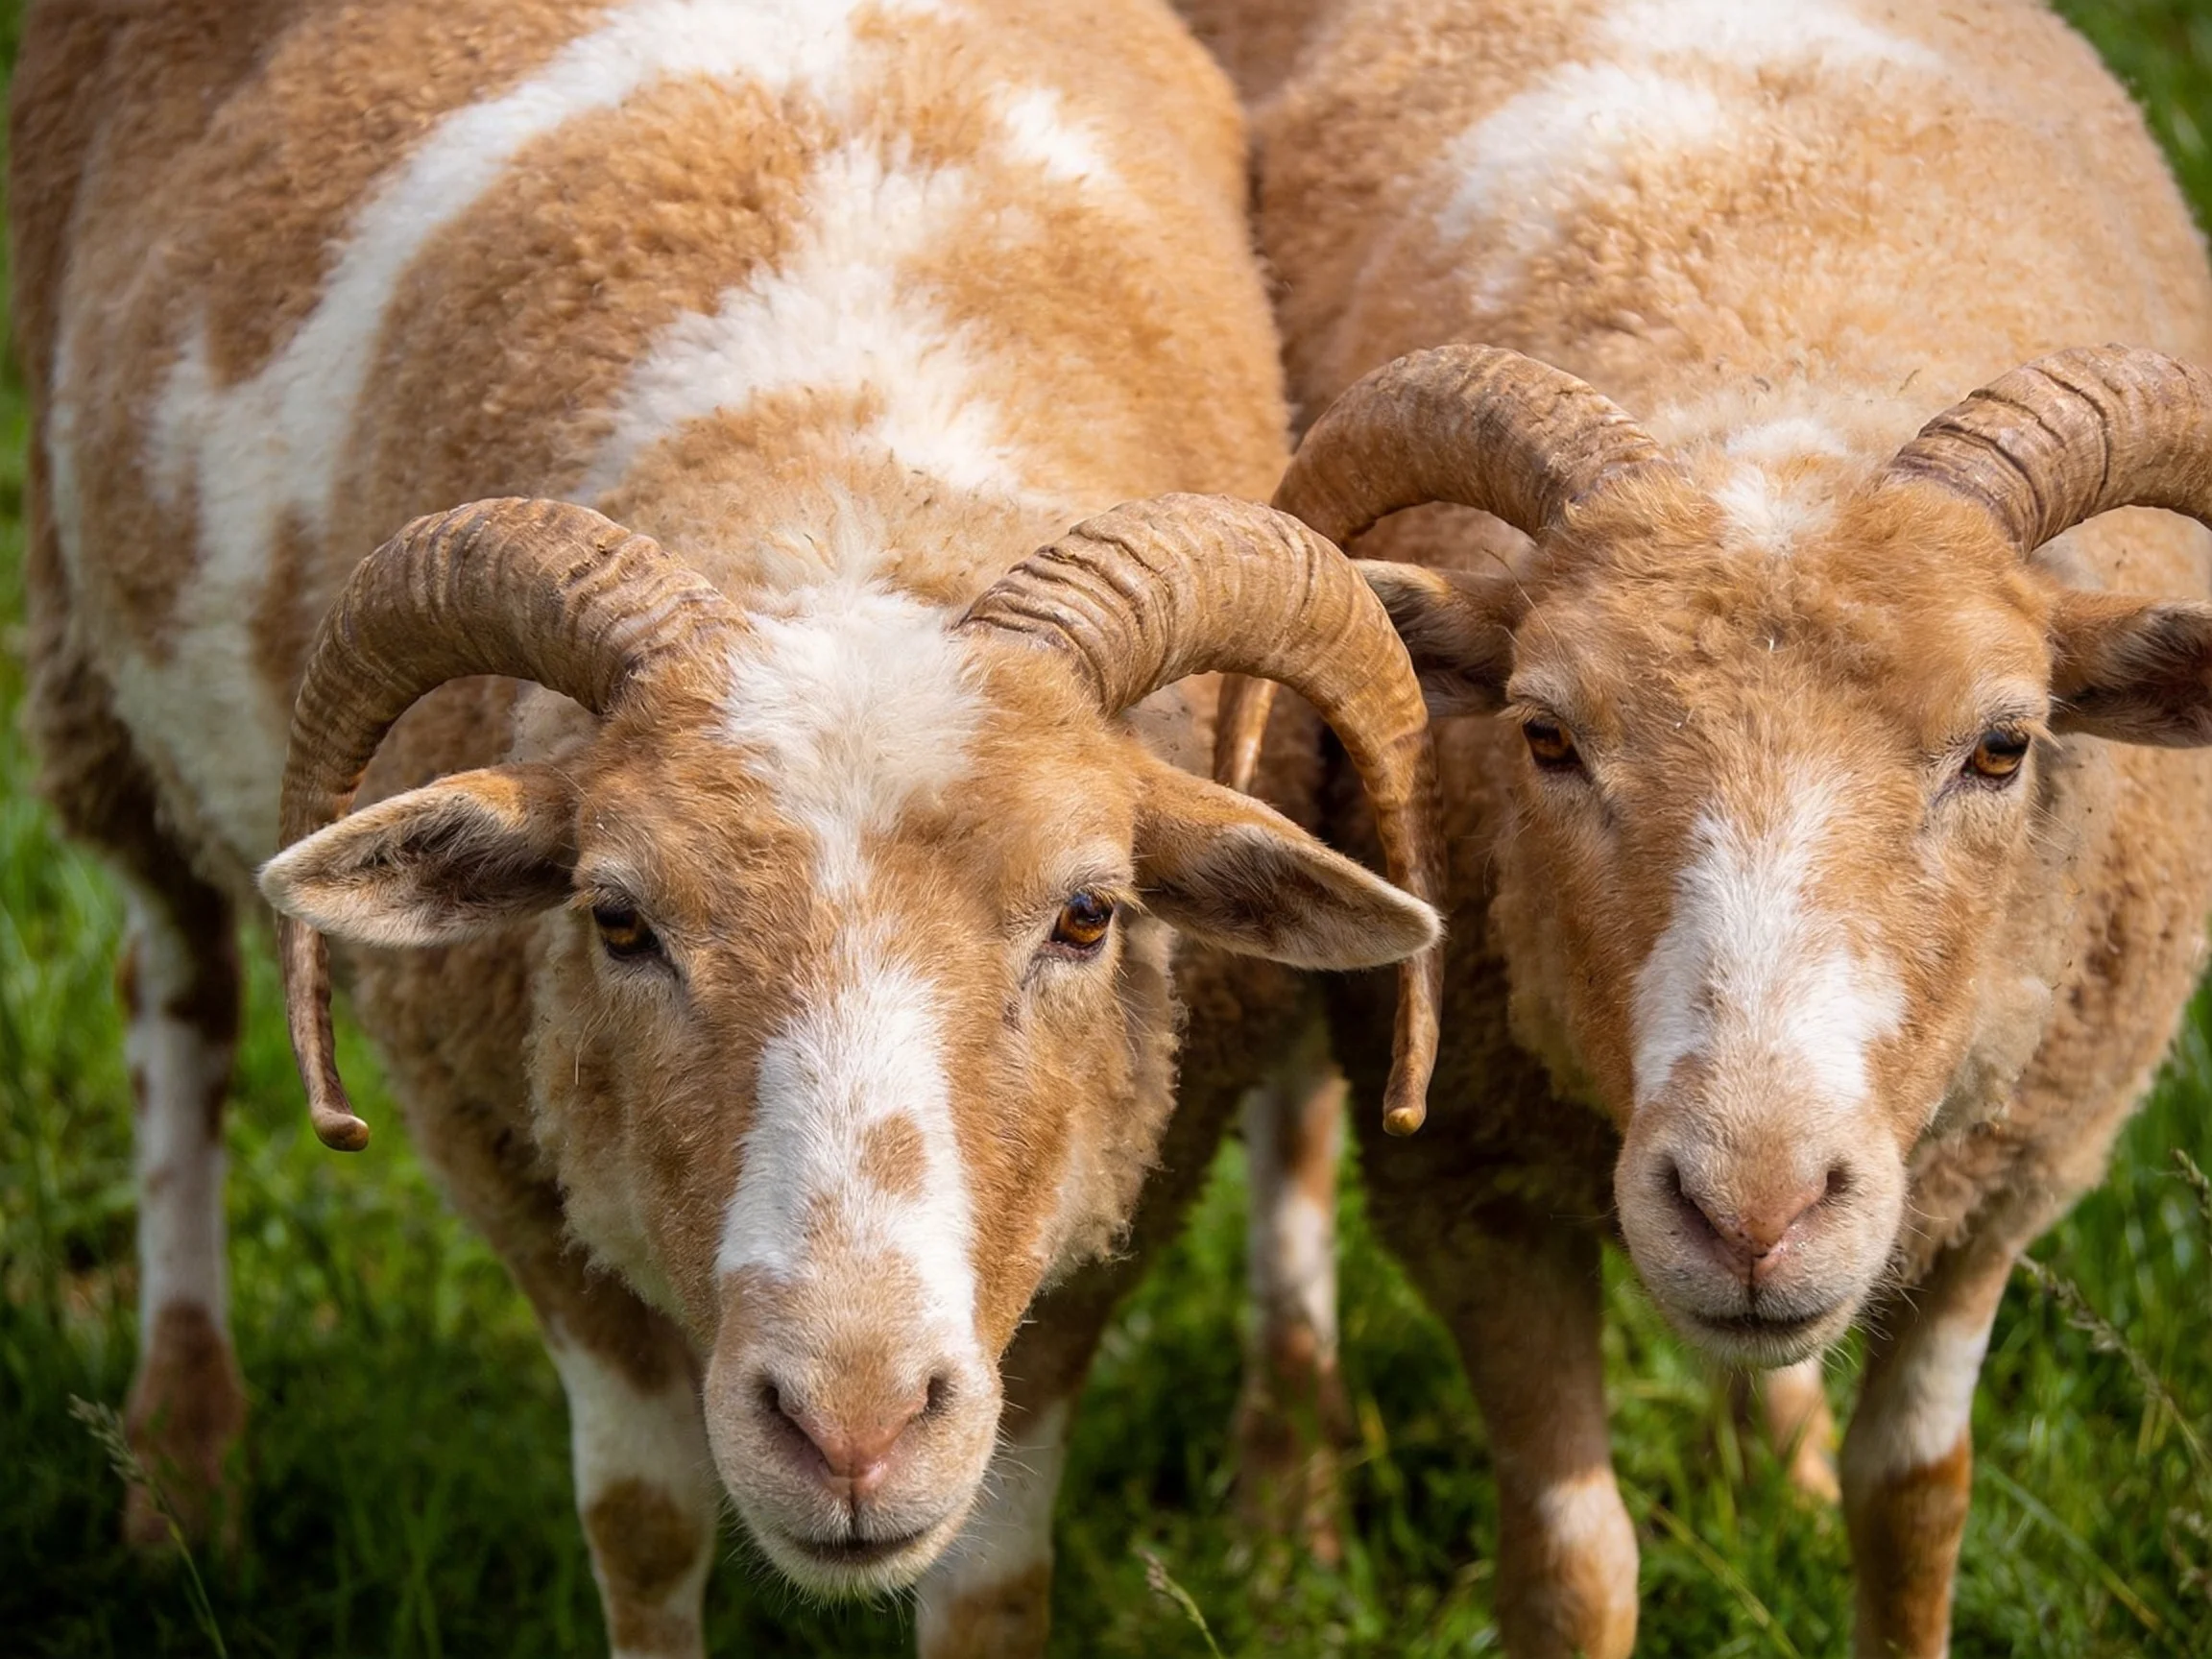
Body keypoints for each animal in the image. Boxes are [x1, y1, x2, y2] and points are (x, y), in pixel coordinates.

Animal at [8, 2, 1446, 1653]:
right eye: (617, 921)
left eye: (1090, 916)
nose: (851, 1429)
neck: (836, 474)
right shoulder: (503, 1148)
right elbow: (641, 1524)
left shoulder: (1106, 1197)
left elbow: (993, 1575)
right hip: (85, 650)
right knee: (173, 996)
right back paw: (180, 1479)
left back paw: (1292, 1509)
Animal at [1201, 1, 2212, 1653]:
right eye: (1544, 736)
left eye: (2006, 746)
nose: (1753, 1208)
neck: (1772, 343)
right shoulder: (1471, 1187)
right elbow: (1573, 1566)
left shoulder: (2000, 1186)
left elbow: (1915, 1507)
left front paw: (1829, 1492)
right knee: (1290, 1135)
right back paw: (1286, 1510)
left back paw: (1772, 1461)